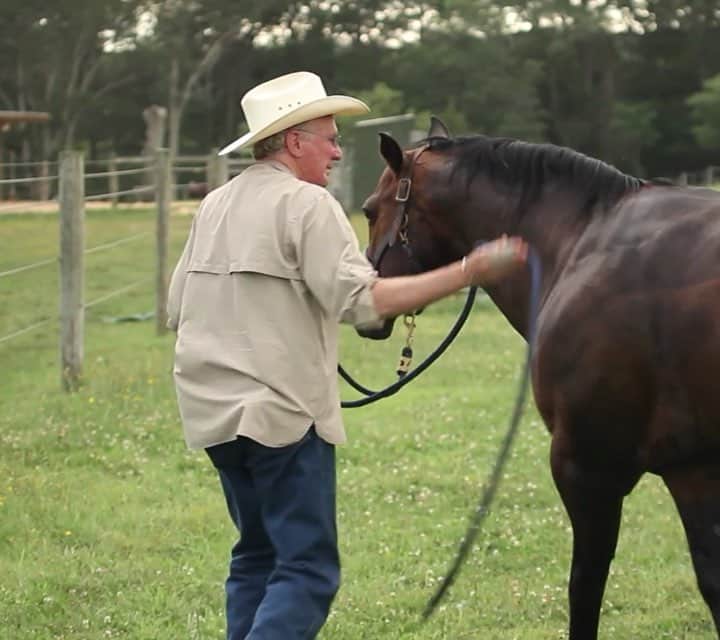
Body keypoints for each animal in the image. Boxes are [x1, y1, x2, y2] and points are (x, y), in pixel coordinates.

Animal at [357, 116, 720, 639]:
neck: (580, 242)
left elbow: (585, 588)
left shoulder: (586, 466)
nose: (367, 310)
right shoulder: (692, 468)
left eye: (369, 209)